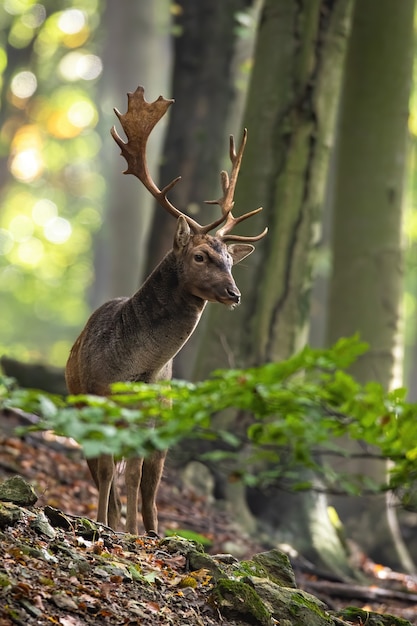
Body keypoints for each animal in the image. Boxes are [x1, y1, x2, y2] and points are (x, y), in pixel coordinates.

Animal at [65, 85, 266, 532]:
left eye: (230, 259)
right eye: (200, 256)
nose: (234, 293)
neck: (136, 369)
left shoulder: (149, 419)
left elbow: (135, 476)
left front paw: (132, 534)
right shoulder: (99, 402)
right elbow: (108, 473)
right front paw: (104, 525)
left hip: (164, 422)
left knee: (149, 485)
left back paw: (152, 531)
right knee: (107, 471)